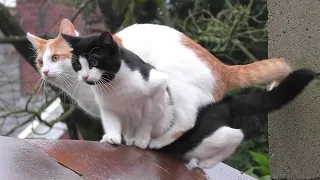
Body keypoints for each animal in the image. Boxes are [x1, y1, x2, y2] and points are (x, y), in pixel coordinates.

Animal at [27, 19, 292, 149]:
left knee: (186, 121)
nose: (45, 71)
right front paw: (123, 138)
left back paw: (157, 143)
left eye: (56, 58)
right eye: (40, 62)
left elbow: (142, 121)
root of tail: (221, 67)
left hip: (176, 84)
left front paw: (137, 140)